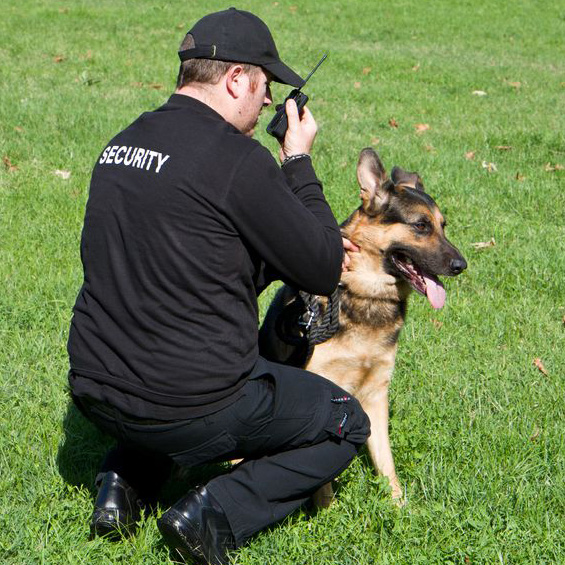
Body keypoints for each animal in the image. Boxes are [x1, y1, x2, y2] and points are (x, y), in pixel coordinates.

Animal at [258, 149, 464, 502]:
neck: (367, 292)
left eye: (443, 226)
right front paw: (328, 509)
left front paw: (399, 505)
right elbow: (323, 479)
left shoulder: (376, 394)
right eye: (421, 225)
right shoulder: (329, 395)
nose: (461, 265)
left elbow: (387, 463)